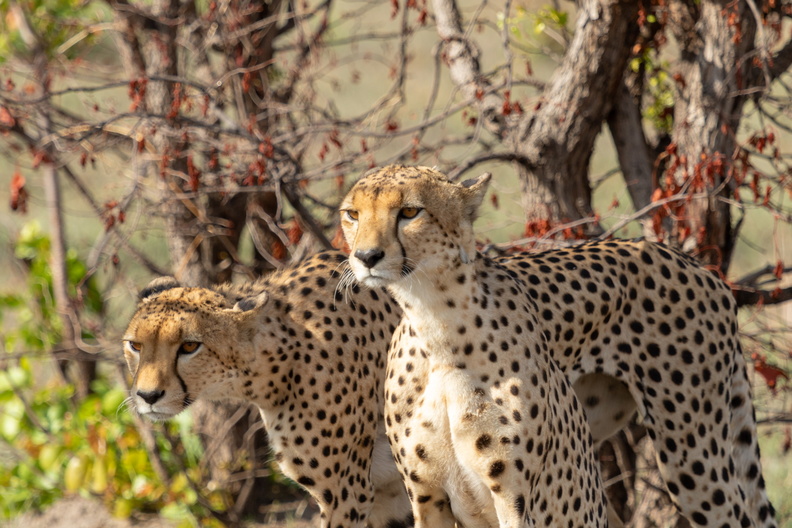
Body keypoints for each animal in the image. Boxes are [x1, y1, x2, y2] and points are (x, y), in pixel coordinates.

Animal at [339, 164, 778, 528]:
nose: (366, 256)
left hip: (693, 455)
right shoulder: (426, 497)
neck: (436, 323)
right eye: (352, 214)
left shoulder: (514, 499)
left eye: (410, 212)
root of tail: (700, 268)